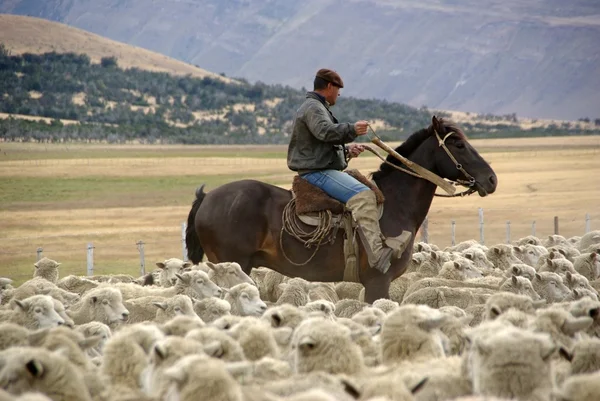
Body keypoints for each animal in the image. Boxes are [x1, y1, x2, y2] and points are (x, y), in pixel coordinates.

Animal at [185, 115, 500, 300]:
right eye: (458, 144)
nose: (491, 179)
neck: (396, 205)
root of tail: (207, 198)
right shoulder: (378, 282)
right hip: (233, 264)